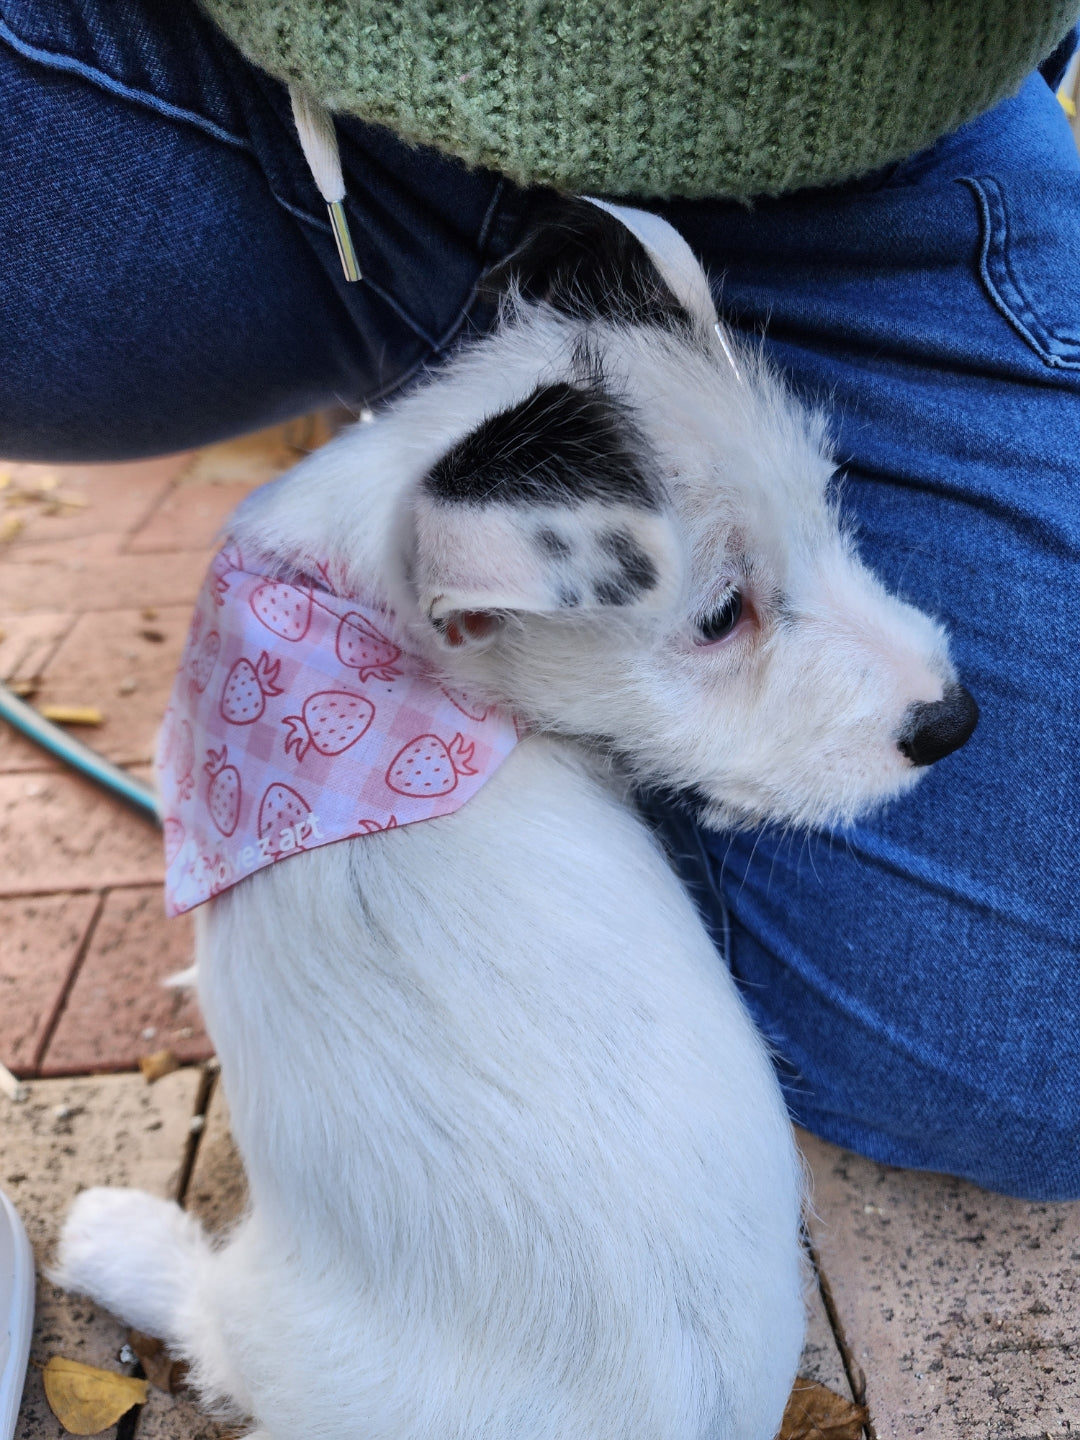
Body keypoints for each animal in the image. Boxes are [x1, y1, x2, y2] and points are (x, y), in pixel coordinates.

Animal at [52, 200, 979, 1440]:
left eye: (827, 505)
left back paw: (109, 1235)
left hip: (266, 1326)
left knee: (202, 1317)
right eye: (719, 617)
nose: (954, 719)